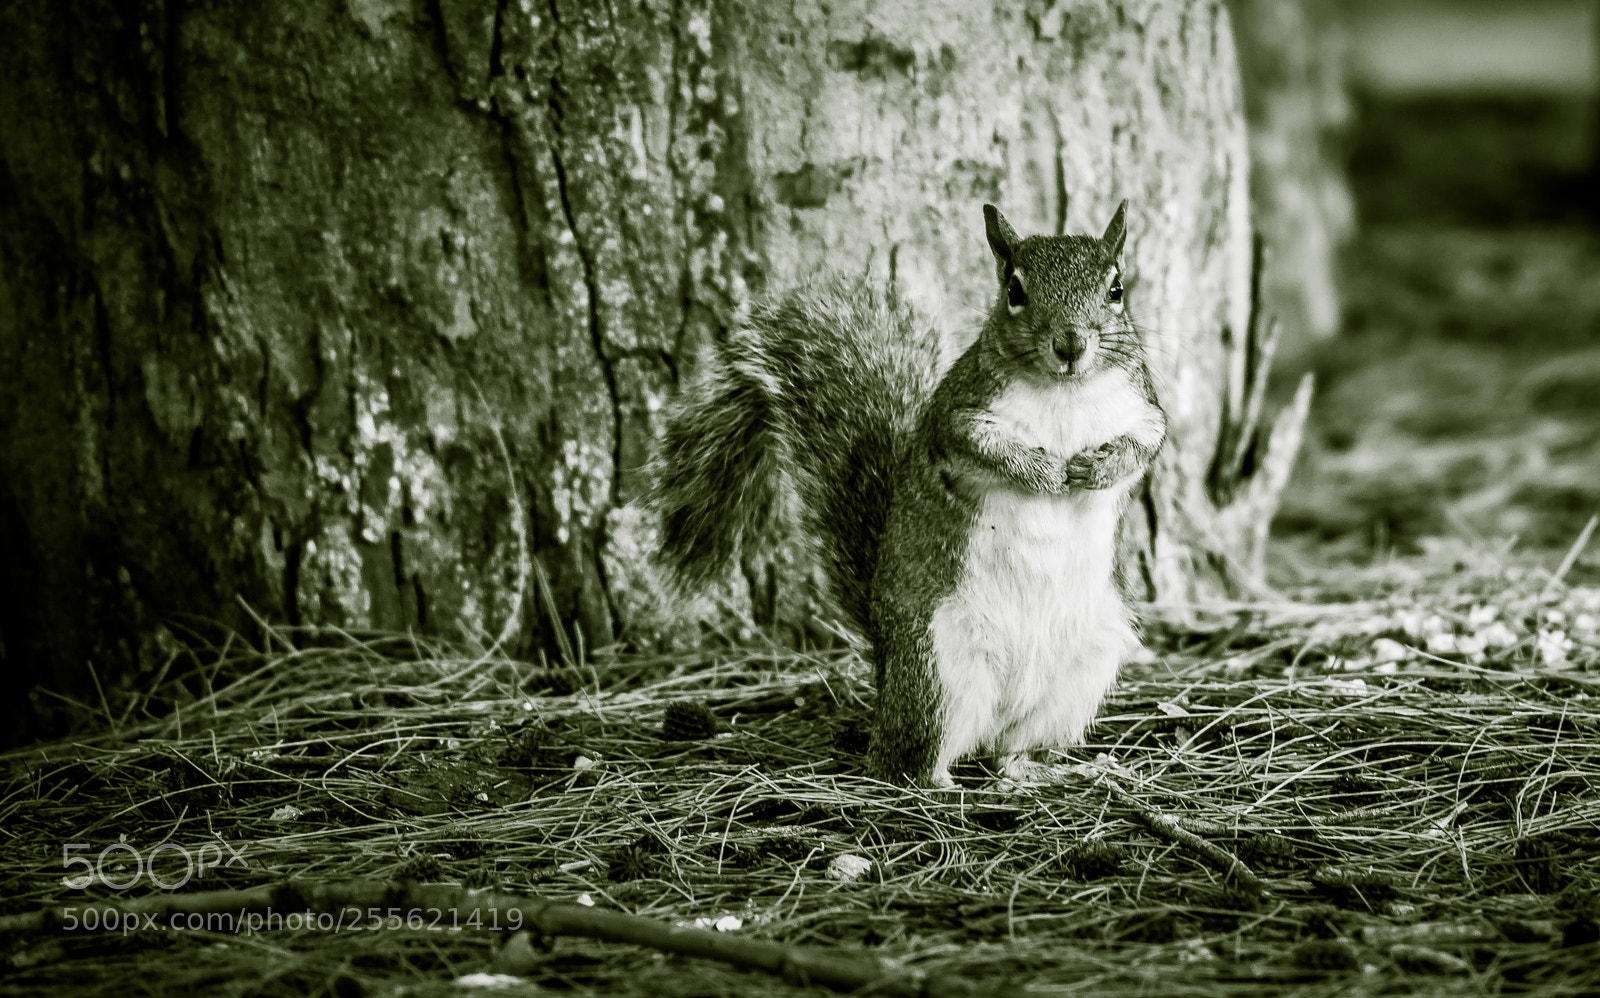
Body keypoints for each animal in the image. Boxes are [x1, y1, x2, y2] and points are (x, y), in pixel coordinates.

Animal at [649, 199, 1166, 787]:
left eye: (1116, 289)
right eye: (1014, 290)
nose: (1071, 344)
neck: (1066, 390)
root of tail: (883, 658)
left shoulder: (1142, 408)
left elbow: (1147, 443)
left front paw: (1099, 467)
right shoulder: (957, 417)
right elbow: (984, 448)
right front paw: (1039, 471)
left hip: (1082, 668)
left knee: (1009, 750)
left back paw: (1044, 771)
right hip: (934, 667)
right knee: (904, 760)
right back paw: (937, 782)